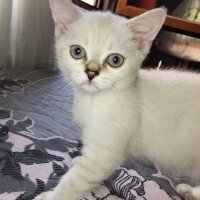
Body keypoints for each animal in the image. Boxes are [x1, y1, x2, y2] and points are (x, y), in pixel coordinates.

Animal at [33, 0, 200, 200]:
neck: (93, 100)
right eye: (77, 51)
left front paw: (49, 196)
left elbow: (73, 183)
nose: (91, 72)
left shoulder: (101, 157)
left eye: (115, 60)